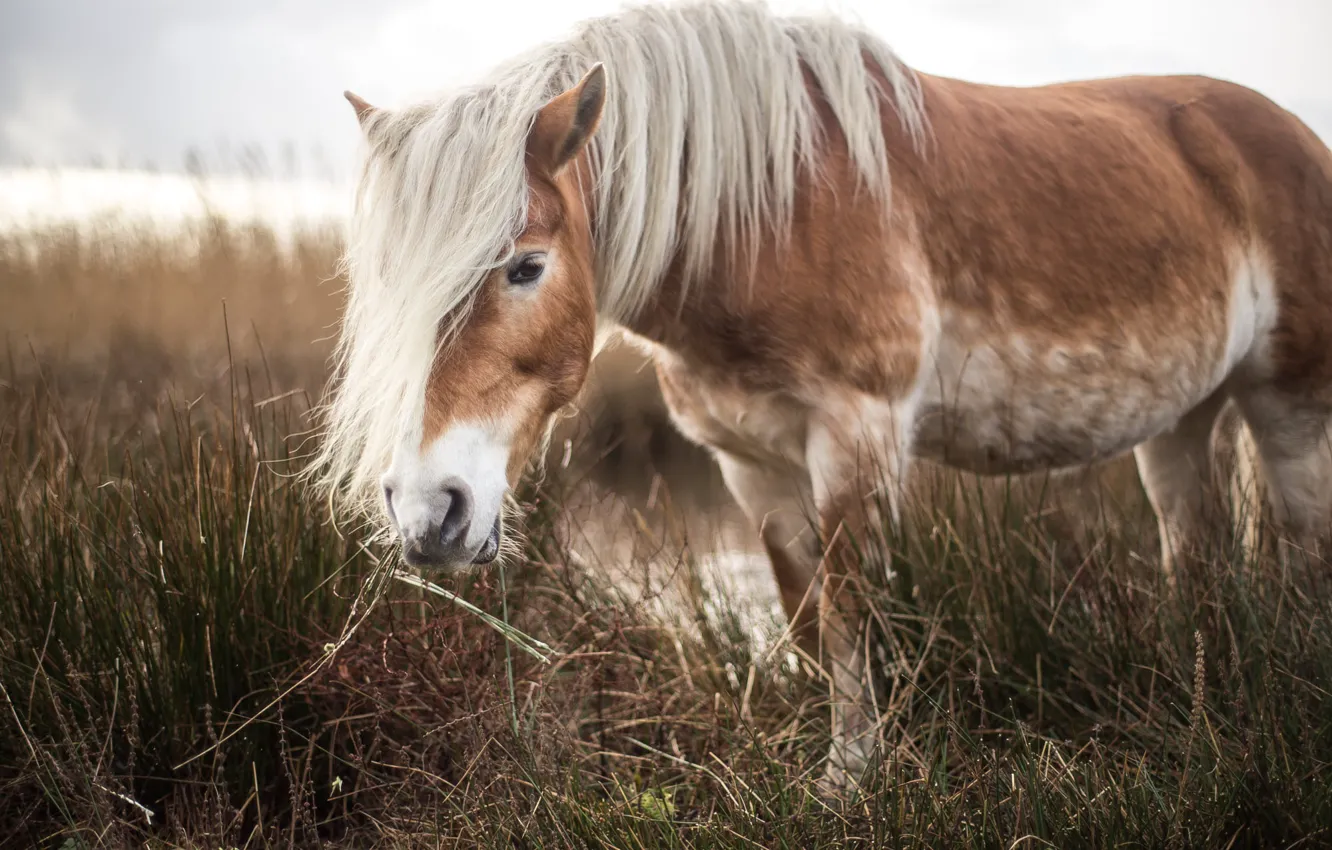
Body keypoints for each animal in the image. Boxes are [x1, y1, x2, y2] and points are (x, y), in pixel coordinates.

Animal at [317, 0, 1332, 794]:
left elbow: (850, 607)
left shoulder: (855, 434)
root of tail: (1290, 134)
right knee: (1195, 552)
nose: (428, 512)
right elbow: (804, 613)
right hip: (1182, 419)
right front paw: (832, 759)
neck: (769, 215)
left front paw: (855, 777)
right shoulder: (749, 461)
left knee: (1299, 550)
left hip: (1289, 412)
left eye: (526, 266)